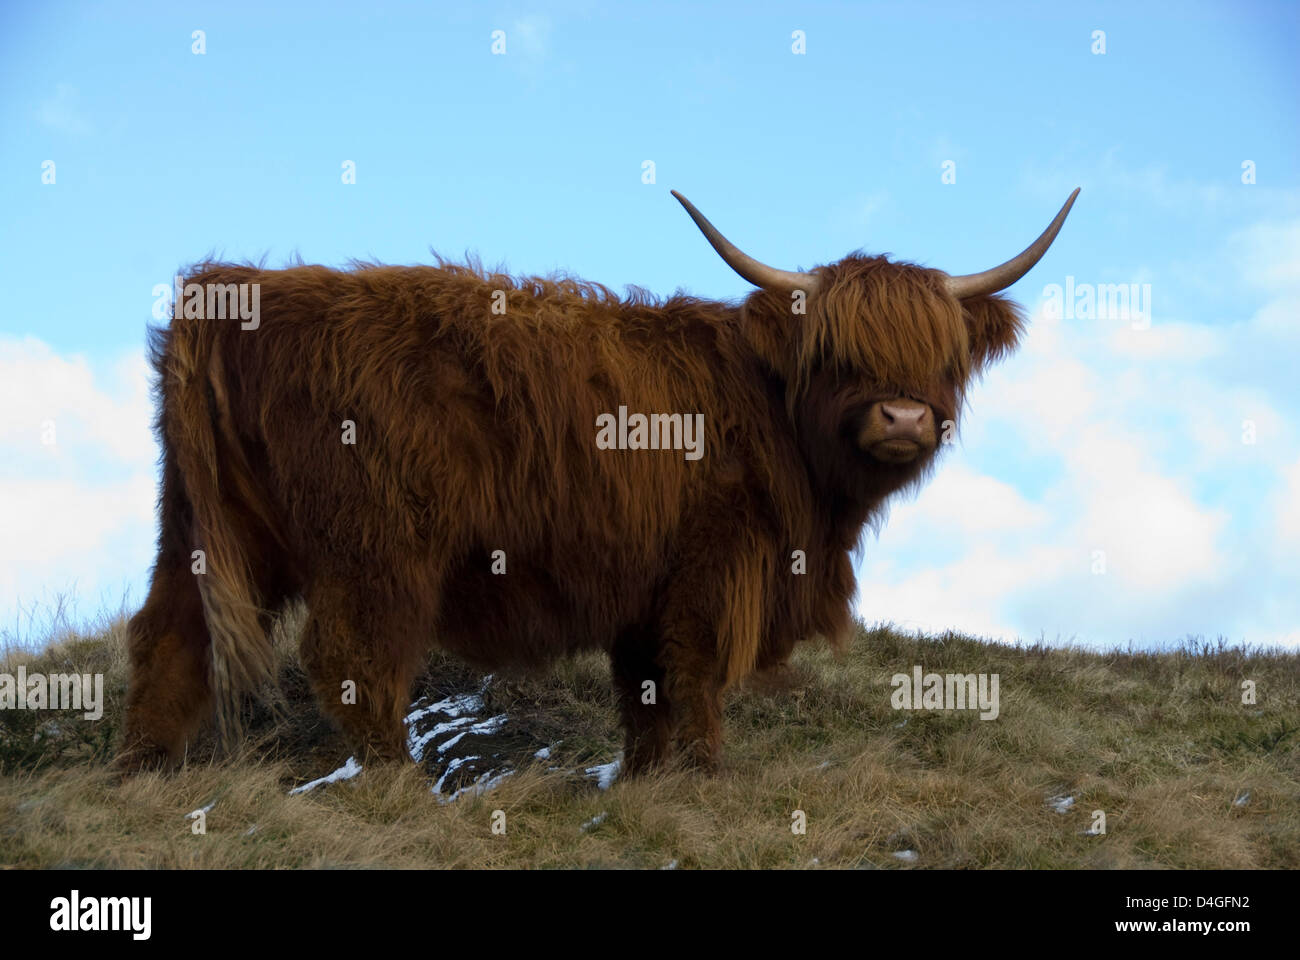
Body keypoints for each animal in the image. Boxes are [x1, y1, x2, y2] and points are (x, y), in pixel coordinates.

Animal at [119, 184, 1076, 770]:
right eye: (839, 353)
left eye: (941, 355)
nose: (903, 419)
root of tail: (236, 287)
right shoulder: (713, 567)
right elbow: (695, 679)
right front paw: (707, 777)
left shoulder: (648, 589)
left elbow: (645, 694)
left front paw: (652, 780)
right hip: (378, 545)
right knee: (351, 657)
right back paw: (402, 787)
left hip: (198, 524)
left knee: (168, 637)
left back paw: (148, 773)